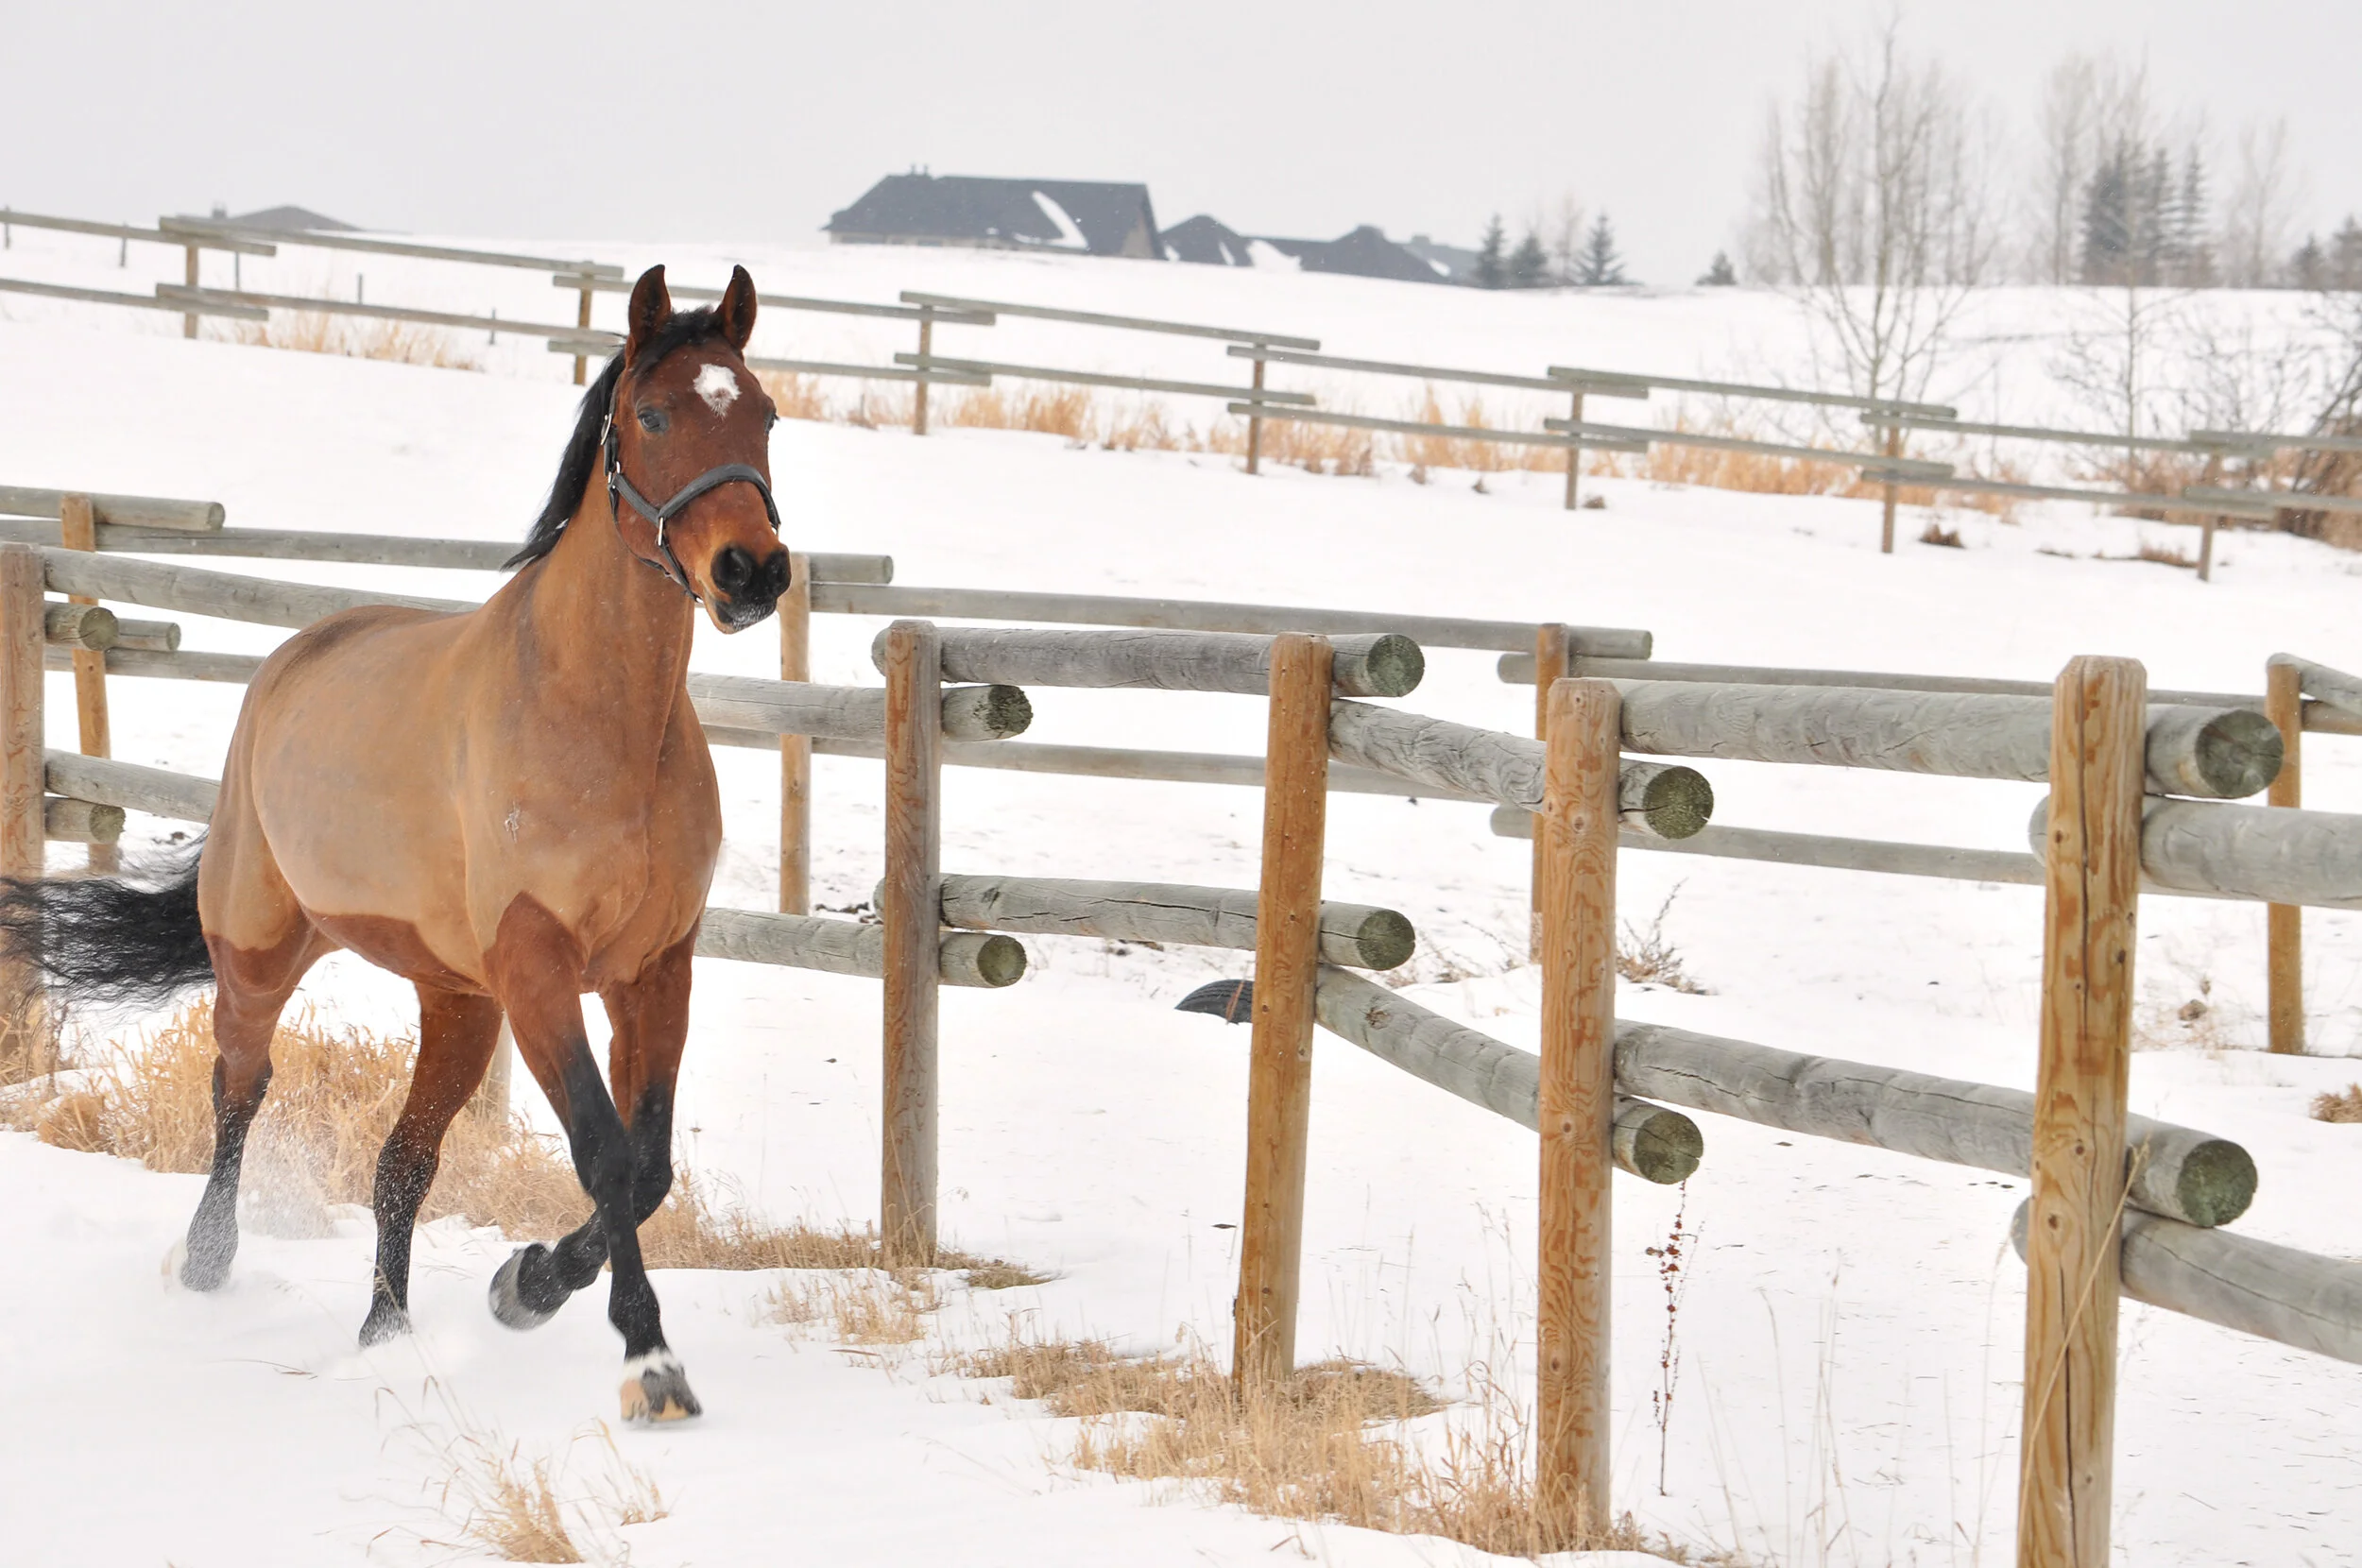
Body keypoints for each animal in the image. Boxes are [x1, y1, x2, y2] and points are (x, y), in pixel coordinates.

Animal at [0, 264, 789, 1422]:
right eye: (651, 415)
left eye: (765, 414)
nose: (751, 571)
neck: (601, 723)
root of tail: (290, 663)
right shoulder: (540, 969)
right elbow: (605, 1156)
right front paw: (648, 1362)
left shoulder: (653, 971)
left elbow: (645, 1170)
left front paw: (524, 1283)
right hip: (260, 956)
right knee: (241, 1089)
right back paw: (206, 1261)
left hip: (457, 1006)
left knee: (400, 1162)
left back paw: (385, 1334)